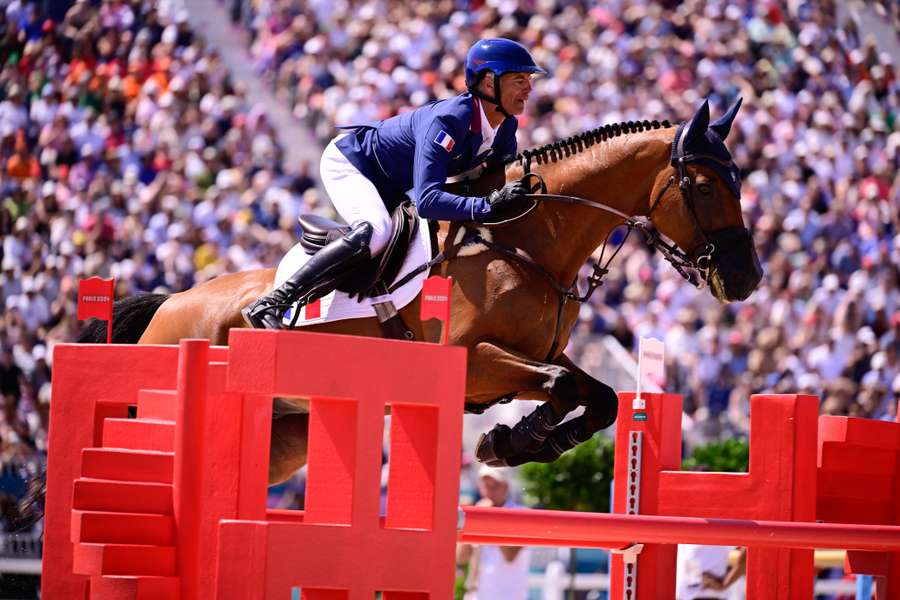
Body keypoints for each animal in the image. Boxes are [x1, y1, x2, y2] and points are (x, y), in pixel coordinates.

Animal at [81, 98, 764, 482]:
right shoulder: (473, 363)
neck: (526, 245)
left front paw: (516, 442)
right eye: (707, 186)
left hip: (284, 442)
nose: (748, 279)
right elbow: (566, 386)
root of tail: (170, 302)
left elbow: (599, 397)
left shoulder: (534, 356)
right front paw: (514, 439)